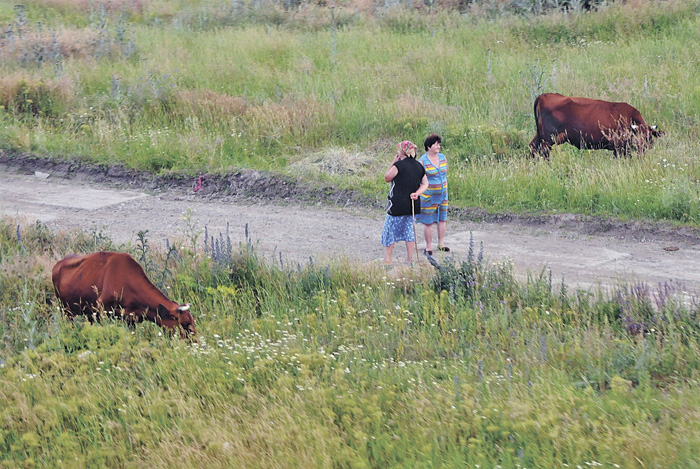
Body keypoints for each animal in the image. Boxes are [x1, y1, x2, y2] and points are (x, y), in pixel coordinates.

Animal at [51, 252, 196, 336]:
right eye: (184, 324)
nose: (195, 341)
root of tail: (57, 265)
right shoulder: (101, 309)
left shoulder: (131, 319)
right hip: (66, 311)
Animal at [528, 93, 664, 159]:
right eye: (636, 138)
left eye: (648, 138)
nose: (642, 149)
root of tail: (543, 96)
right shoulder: (619, 147)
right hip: (549, 139)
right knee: (543, 152)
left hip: (540, 136)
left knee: (533, 148)